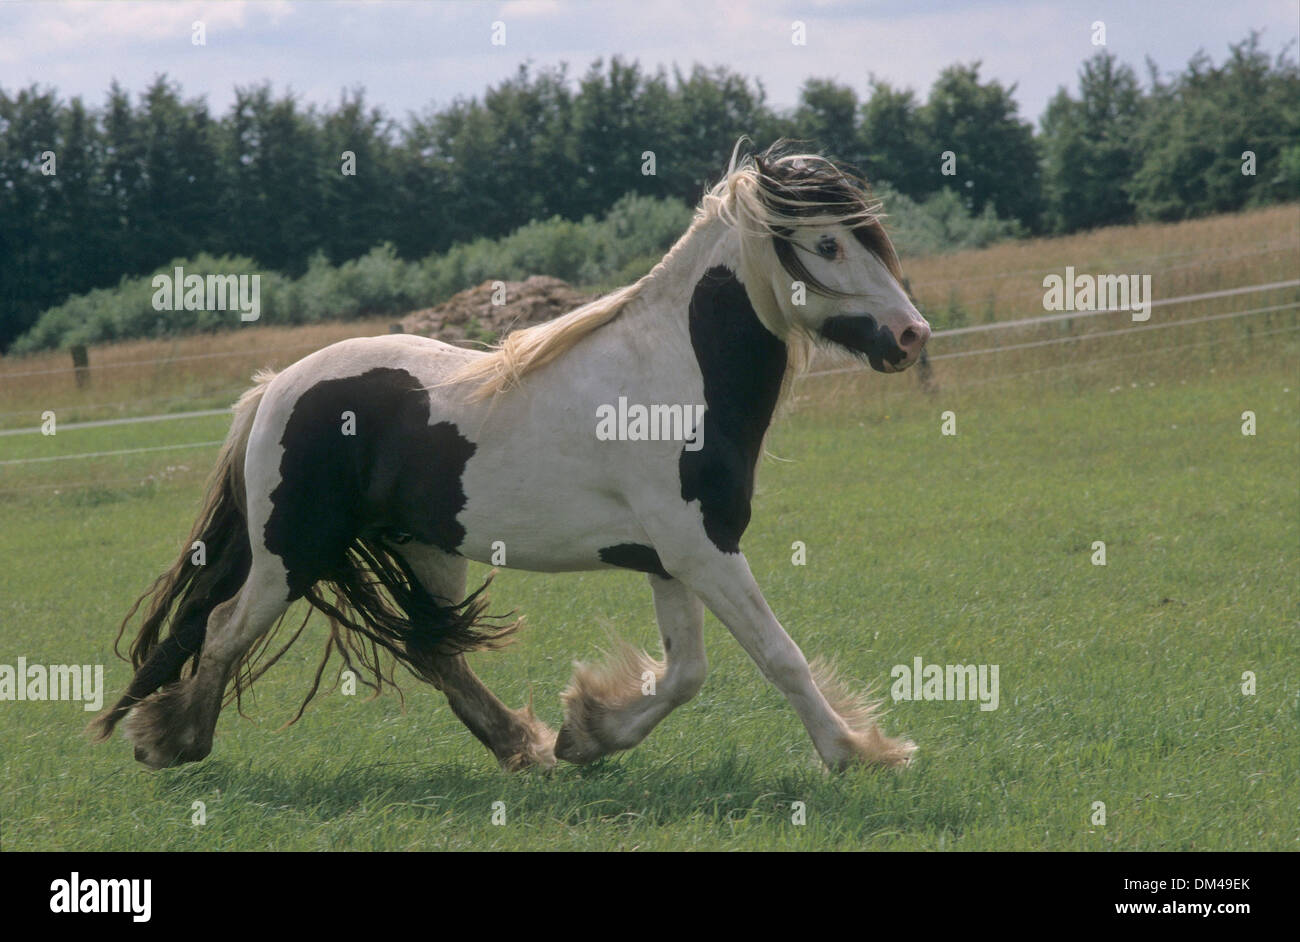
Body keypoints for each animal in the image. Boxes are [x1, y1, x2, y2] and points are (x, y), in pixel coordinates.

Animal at [86, 141, 930, 769]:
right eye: (828, 243)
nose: (911, 336)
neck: (672, 376)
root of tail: (270, 391)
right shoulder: (703, 548)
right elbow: (776, 656)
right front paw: (856, 752)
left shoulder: (672, 558)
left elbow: (686, 673)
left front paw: (586, 733)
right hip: (292, 553)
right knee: (226, 627)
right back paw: (171, 740)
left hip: (422, 551)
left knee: (432, 650)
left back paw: (523, 748)